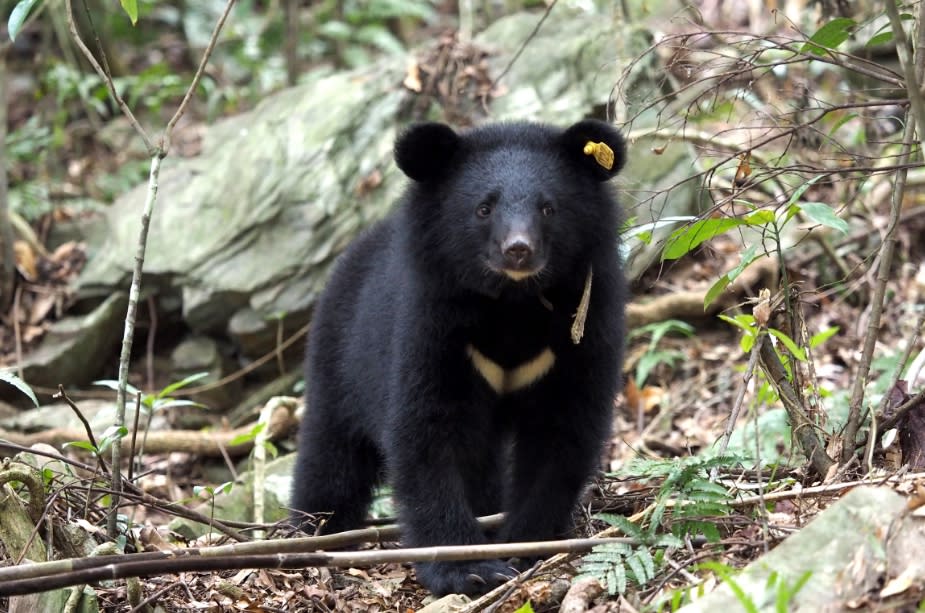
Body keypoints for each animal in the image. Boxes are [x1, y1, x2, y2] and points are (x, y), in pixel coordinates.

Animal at [294, 118, 628, 592]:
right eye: (483, 208)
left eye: (549, 208)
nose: (518, 250)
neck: (512, 305)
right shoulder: (433, 326)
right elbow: (427, 433)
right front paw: (468, 568)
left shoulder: (581, 329)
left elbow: (562, 431)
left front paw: (523, 545)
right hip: (341, 359)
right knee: (331, 455)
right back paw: (315, 531)